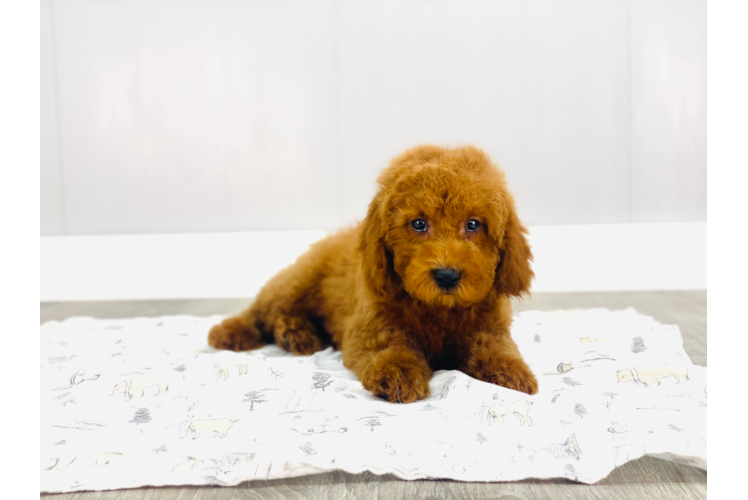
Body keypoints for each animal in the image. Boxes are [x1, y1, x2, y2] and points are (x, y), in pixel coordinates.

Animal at [209, 146, 536, 402]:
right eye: (418, 224)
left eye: (473, 224)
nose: (446, 276)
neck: (438, 309)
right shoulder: (369, 325)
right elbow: (388, 346)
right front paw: (399, 373)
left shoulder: (489, 326)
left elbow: (496, 346)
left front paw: (513, 373)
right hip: (296, 285)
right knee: (261, 310)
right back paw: (232, 332)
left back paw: (296, 334)